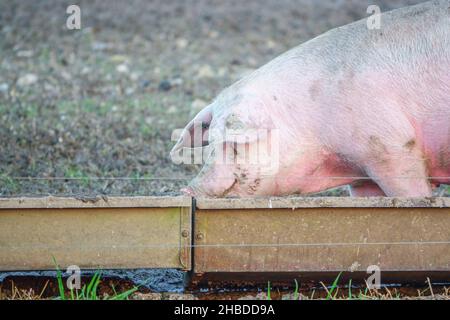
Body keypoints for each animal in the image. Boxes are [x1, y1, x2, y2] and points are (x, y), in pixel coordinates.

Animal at [170, 1, 450, 198]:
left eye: (234, 143)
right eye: (210, 142)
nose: (187, 189)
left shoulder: (393, 145)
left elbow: (412, 193)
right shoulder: (364, 177)